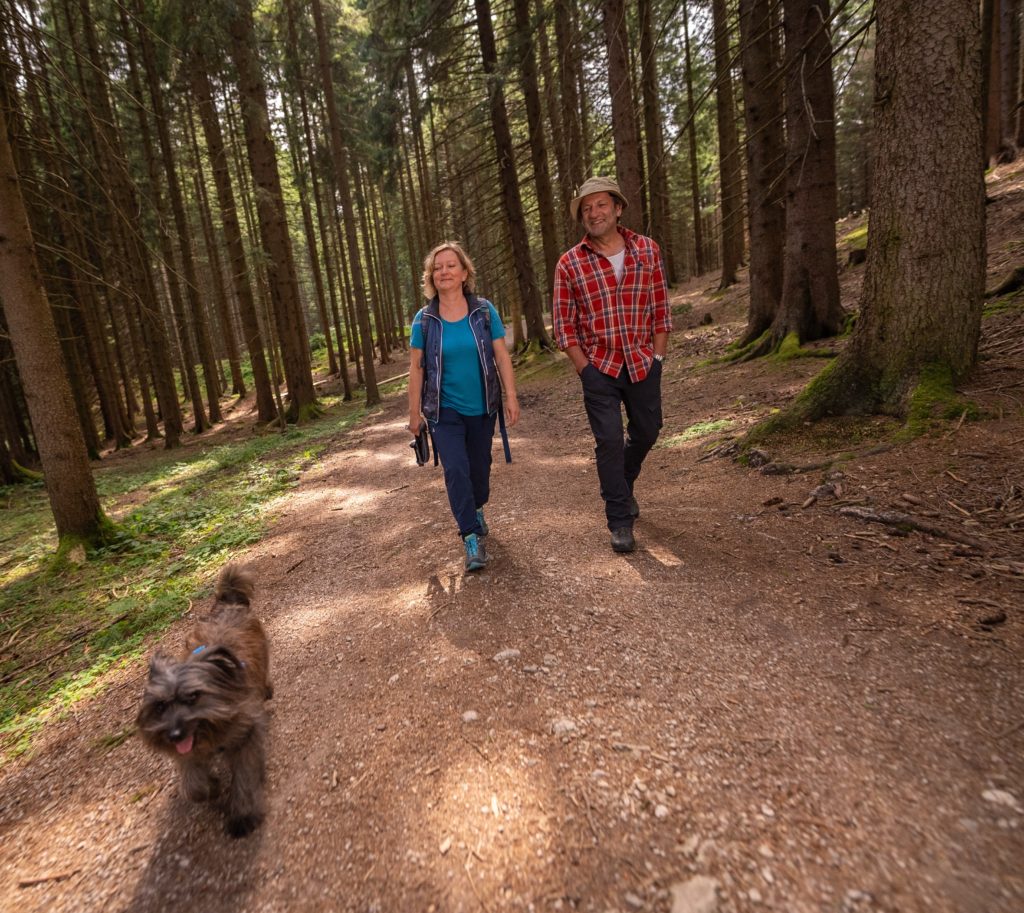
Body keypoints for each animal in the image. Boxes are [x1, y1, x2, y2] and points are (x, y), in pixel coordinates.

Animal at [136, 560, 272, 839]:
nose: (174, 734)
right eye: (161, 706)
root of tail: (228, 604)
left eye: (194, 697)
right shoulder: (188, 750)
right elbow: (192, 780)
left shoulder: (247, 734)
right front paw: (209, 787)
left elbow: (244, 777)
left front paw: (243, 815)